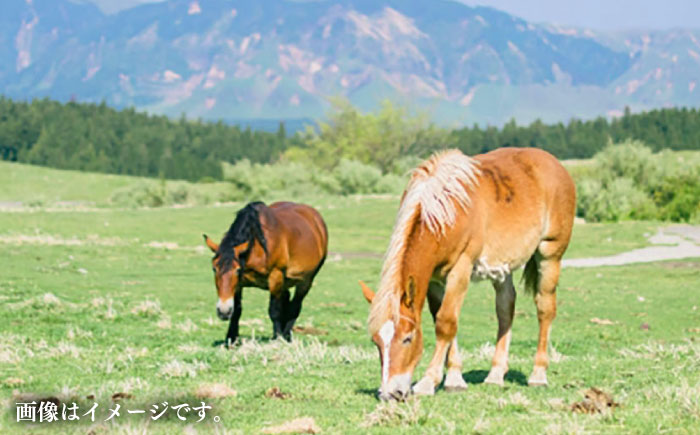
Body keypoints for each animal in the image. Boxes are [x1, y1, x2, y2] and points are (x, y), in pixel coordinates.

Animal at [202, 202, 328, 348]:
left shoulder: (275, 276)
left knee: (295, 306)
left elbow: (274, 310)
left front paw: (278, 338)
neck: (256, 247)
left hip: (305, 281)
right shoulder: (239, 284)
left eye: (237, 270)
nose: (223, 311)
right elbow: (237, 310)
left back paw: (286, 335)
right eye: (214, 269)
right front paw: (231, 339)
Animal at [360, 149, 576, 402]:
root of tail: (555, 164)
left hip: (550, 255)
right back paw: (495, 374)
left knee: (545, 309)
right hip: (502, 267)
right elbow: (443, 319)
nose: (389, 394)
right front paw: (454, 378)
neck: (446, 211)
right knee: (505, 309)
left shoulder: (460, 268)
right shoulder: (435, 279)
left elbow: (445, 323)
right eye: (376, 342)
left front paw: (428, 381)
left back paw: (538, 375)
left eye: (408, 338)